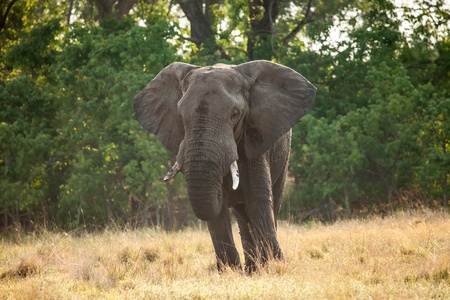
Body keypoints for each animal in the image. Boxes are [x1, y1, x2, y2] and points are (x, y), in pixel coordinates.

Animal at [134, 60, 316, 272]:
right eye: (179, 116)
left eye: (234, 114)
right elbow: (218, 210)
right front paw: (230, 272)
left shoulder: (255, 141)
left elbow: (258, 199)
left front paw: (275, 267)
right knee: (242, 217)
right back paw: (252, 270)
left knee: (271, 203)